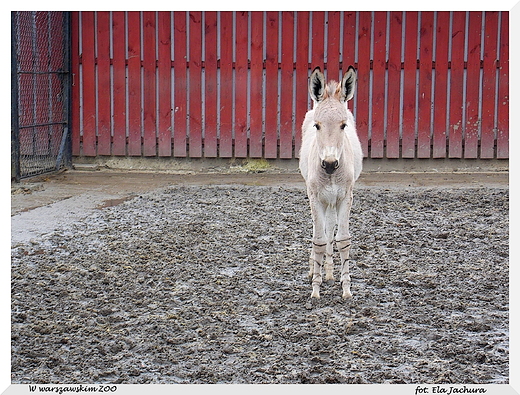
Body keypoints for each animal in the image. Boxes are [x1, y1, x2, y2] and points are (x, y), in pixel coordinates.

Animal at [298, 66, 364, 298]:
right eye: (317, 126)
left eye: (343, 126)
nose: (329, 164)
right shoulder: (316, 197)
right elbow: (319, 239)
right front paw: (315, 289)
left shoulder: (345, 197)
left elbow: (342, 240)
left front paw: (346, 289)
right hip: (319, 198)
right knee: (320, 230)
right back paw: (316, 270)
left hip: (333, 200)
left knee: (330, 226)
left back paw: (328, 272)